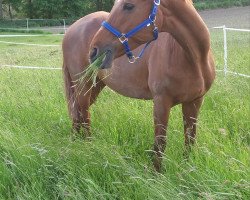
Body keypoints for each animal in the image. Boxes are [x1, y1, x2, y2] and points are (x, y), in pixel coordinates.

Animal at [62, 0, 215, 172]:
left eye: (129, 6)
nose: (94, 50)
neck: (194, 59)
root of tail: (72, 29)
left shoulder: (194, 102)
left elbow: (190, 139)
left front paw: (186, 169)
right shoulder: (161, 102)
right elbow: (160, 143)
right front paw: (156, 174)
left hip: (94, 86)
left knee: (77, 114)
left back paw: (75, 142)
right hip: (83, 84)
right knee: (83, 116)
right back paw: (88, 148)